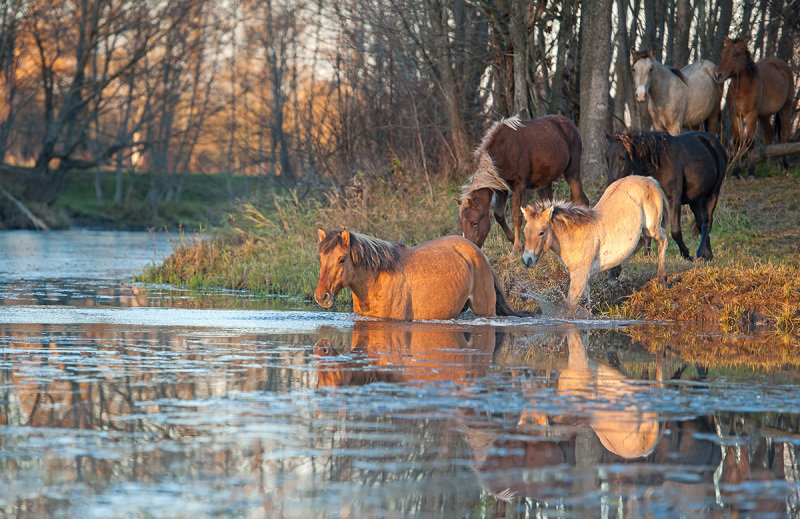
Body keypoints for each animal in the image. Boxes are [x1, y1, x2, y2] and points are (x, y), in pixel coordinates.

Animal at [316, 229, 528, 320]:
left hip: (485, 309)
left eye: (342, 259)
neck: (378, 280)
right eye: (320, 258)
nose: (321, 296)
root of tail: (478, 252)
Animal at [456, 115, 588, 253]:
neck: (502, 153)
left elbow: (516, 215)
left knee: (580, 200)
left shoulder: (519, 185)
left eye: (474, 222)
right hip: (546, 181)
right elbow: (499, 214)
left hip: (572, 171)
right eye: (462, 223)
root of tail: (571, 124)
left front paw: (516, 247)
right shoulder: (502, 189)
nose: (468, 247)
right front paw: (514, 240)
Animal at [520, 177, 668, 310]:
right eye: (525, 231)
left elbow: (569, 308)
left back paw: (662, 281)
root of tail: (649, 179)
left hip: (651, 228)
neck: (574, 237)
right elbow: (586, 304)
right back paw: (616, 273)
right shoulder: (581, 279)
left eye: (541, 232)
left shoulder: (579, 278)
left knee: (663, 240)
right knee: (641, 242)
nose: (526, 260)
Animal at [608, 130, 724, 260]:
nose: (610, 183)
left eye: (622, 157)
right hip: (696, 200)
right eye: (607, 157)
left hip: (713, 193)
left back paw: (700, 253)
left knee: (707, 222)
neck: (659, 165)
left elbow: (675, 231)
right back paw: (707, 255)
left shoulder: (673, 200)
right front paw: (647, 254)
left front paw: (686, 254)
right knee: (700, 223)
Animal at [712, 36, 792, 176]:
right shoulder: (736, 115)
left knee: (784, 135)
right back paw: (767, 165)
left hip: (786, 107)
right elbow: (738, 142)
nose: (718, 75)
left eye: (735, 55)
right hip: (764, 115)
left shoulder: (751, 115)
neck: (742, 89)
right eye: (722, 54)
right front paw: (736, 172)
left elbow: (749, 142)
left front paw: (751, 172)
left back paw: (785, 166)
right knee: (768, 134)